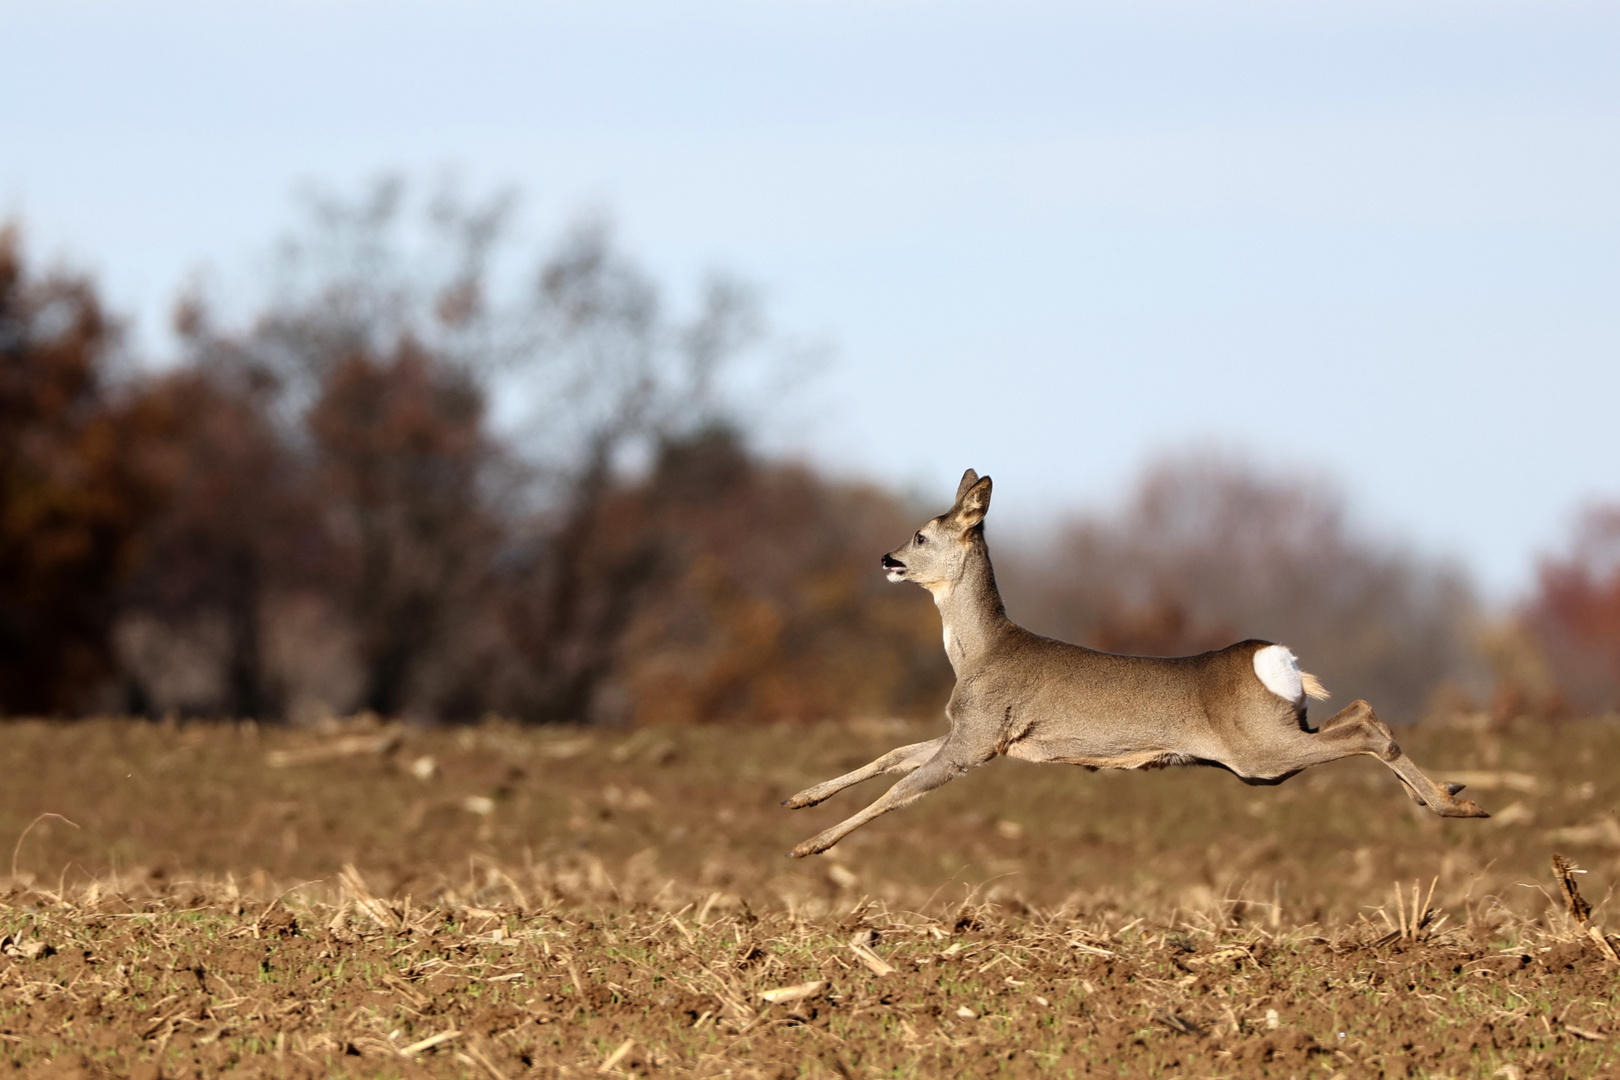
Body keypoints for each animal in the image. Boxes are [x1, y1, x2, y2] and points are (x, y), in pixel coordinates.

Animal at [777, 469, 1483, 854]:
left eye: (921, 535)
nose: (886, 559)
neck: (979, 654)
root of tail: (1273, 658)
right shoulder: (977, 734)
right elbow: (892, 755)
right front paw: (800, 799)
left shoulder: (980, 737)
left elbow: (902, 788)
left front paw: (809, 845)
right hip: (1279, 736)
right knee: (1363, 712)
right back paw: (1447, 793)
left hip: (1259, 753)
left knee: (1365, 727)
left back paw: (1455, 806)